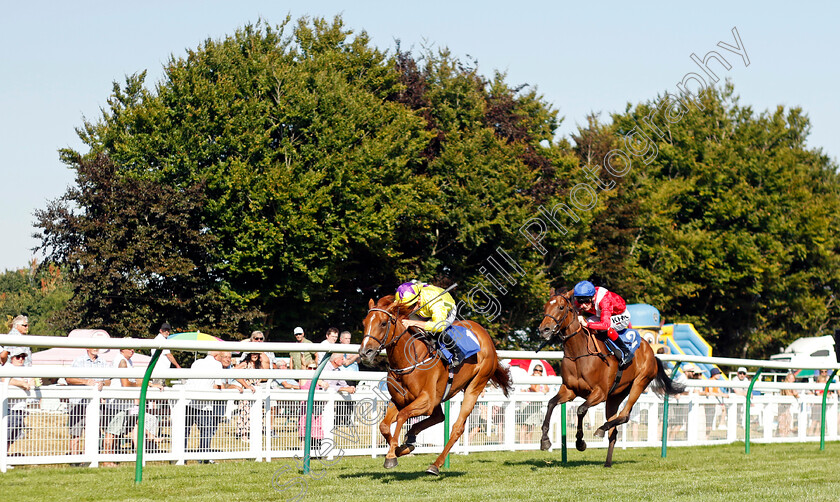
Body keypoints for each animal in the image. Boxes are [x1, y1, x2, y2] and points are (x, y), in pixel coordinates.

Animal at [356, 294, 512, 474]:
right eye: (364, 323)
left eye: (383, 323)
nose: (365, 352)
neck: (409, 359)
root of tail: (485, 335)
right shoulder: (399, 400)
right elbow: (384, 426)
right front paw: (400, 449)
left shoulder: (426, 400)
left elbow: (402, 415)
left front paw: (391, 456)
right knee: (439, 416)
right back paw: (411, 437)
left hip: (475, 386)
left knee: (457, 427)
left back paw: (435, 465)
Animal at [540, 288, 684, 468]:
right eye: (545, 307)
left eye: (561, 307)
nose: (543, 330)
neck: (578, 353)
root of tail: (651, 351)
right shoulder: (569, 390)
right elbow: (551, 403)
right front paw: (545, 440)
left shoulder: (599, 393)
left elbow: (581, 410)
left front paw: (580, 442)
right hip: (615, 396)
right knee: (614, 431)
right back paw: (607, 462)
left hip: (639, 383)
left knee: (625, 415)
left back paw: (601, 429)